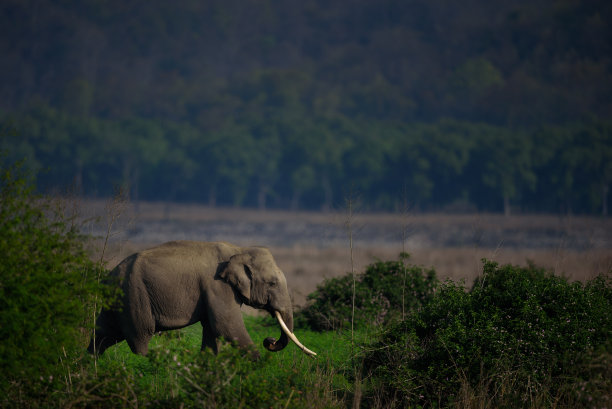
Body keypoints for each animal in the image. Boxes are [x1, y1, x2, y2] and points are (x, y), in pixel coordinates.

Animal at [86, 239, 316, 356]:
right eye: (273, 283)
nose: (269, 341)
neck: (239, 249)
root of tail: (108, 276)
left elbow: (212, 329)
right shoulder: (217, 285)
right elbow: (226, 326)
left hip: (118, 299)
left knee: (104, 332)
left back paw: (91, 362)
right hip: (134, 295)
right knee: (140, 335)